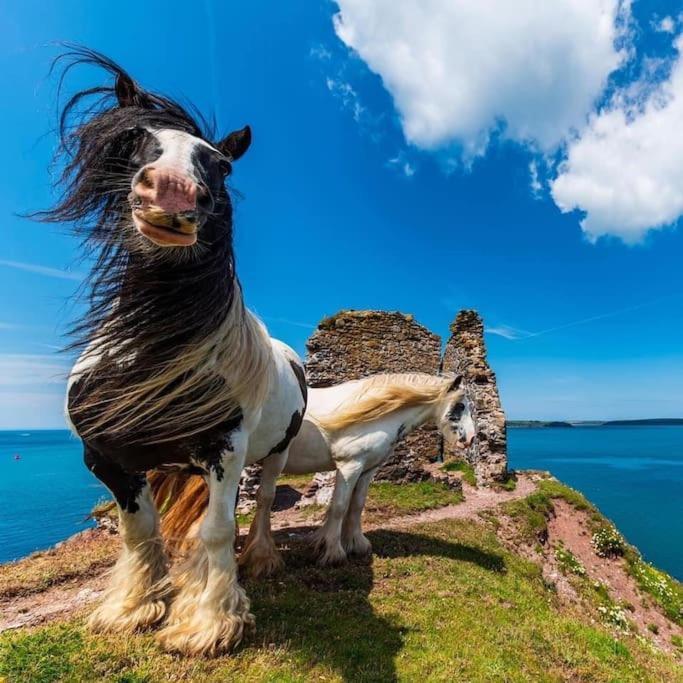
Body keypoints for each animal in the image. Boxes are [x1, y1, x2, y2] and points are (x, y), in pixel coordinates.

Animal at [42, 48, 308, 656]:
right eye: (134, 138)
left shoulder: (225, 448)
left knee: (259, 504)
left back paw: (258, 559)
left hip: (274, 449)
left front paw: (207, 622)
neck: (153, 352)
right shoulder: (105, 457)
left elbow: (217, 528)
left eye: (223, 166)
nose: (171, 192)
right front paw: (132, 607)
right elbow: (141, 531)